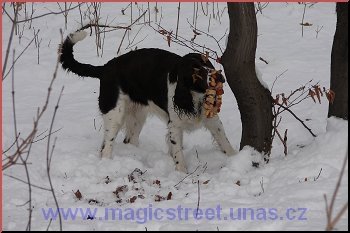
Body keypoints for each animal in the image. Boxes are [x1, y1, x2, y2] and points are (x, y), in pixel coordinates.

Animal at [59, 30, 235, 173]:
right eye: (196, 72)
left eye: (207, 63)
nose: (220, 76)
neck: (193, 96)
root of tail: (105, 68)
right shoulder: (175, 126)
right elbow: (178, 154)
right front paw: (182, 174)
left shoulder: (212, 120)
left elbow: (225, 143)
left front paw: (235, 159)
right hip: (115, 114)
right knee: (106, 147)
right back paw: (107, 165)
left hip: (138, 116)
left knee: (128, 140)